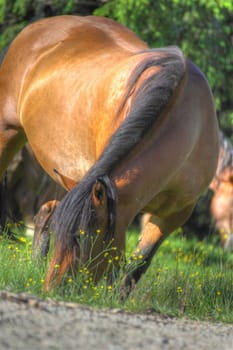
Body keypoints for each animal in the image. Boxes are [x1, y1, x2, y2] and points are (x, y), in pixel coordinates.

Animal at [0, 15, 218, 296]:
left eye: (83, 237)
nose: (54, 289)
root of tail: (36, 28)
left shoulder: (175, 214)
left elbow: (139, 261)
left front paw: (118, 296)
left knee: (47, 209)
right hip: (9, 132)